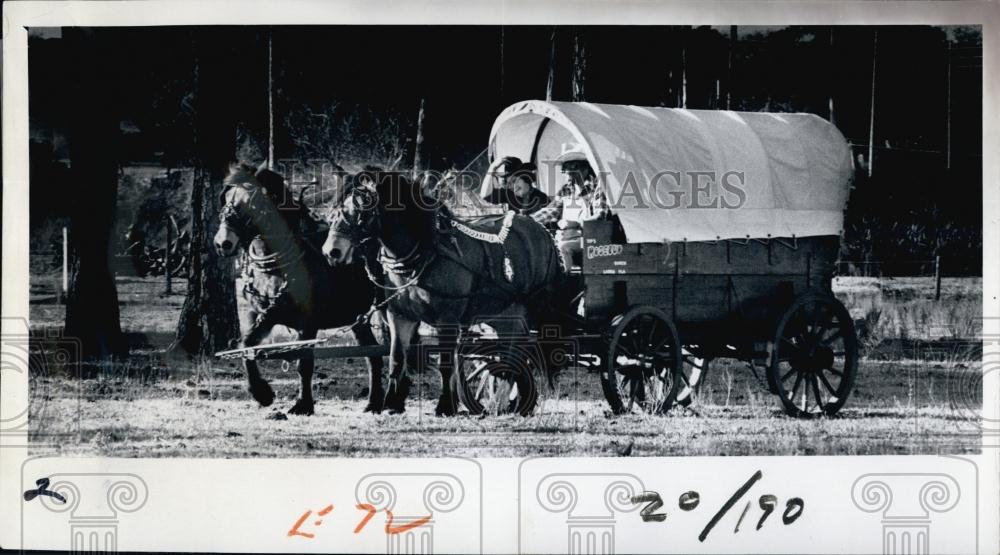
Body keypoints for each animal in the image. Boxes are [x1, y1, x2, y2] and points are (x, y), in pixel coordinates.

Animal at [216, 165, 386, 416]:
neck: (275, 269)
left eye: (251, 203)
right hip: (359, 318)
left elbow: (303, 363)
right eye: (226, 198)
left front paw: (303, 404)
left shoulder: (307, 324)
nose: (222, 243)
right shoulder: (261, 316)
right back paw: (374, 402)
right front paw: (262, 393)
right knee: (373, 354)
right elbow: (247, 347)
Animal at [324, 169, 568, 416]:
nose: (331, 251)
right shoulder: (400, 316)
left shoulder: (447, 318)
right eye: (336, 210)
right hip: (506, 313)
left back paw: (500, 402)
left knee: (519, 353)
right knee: (512, 352)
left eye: (362, 207)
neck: (426, 254)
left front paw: (445, 405)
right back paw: (512, 401)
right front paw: (391, 404)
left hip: (532, 307)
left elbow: (446, 363)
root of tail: (541, 230)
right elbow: (397, 358)